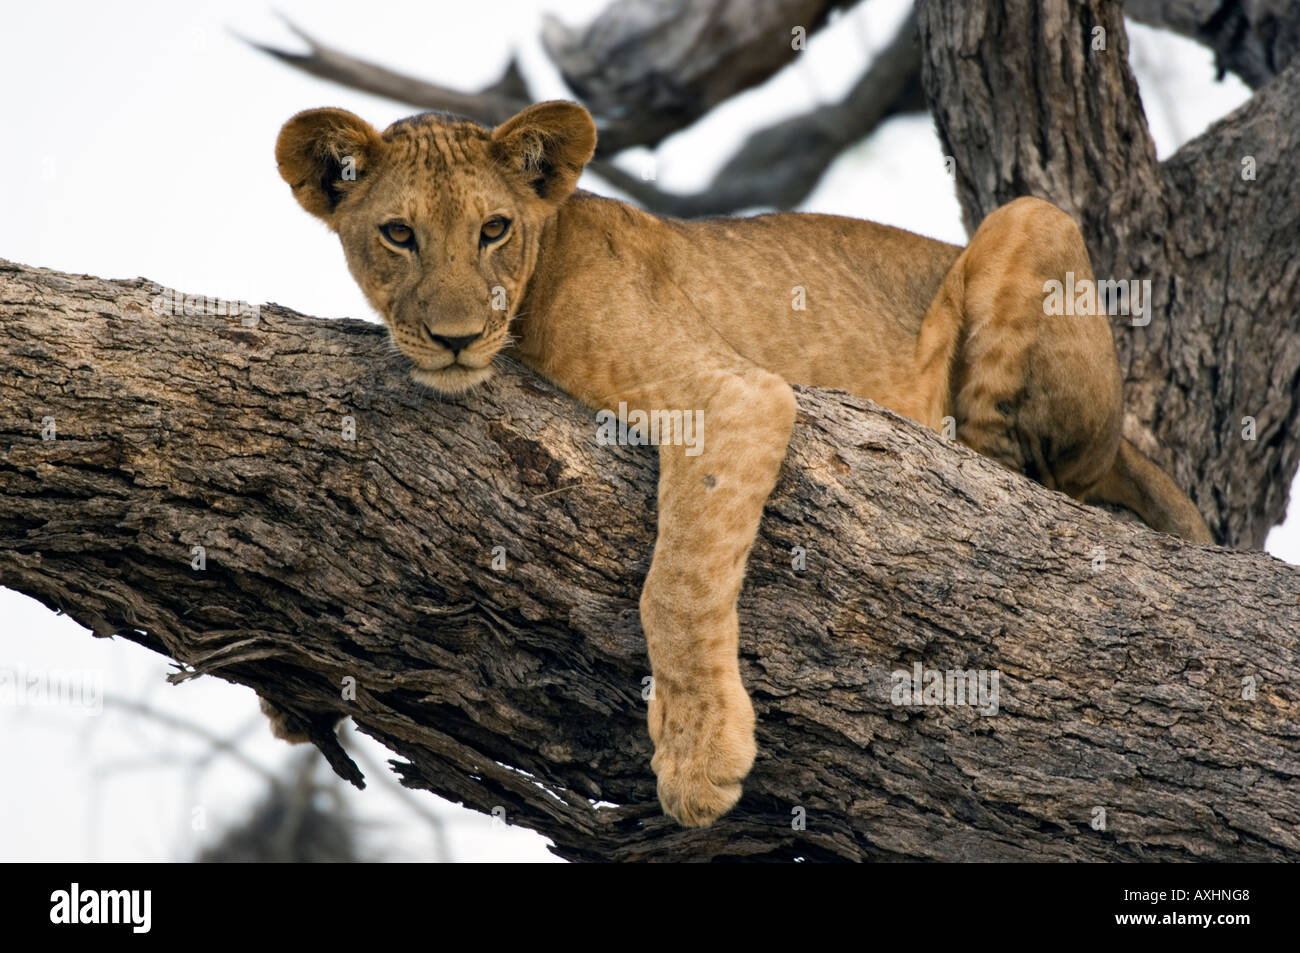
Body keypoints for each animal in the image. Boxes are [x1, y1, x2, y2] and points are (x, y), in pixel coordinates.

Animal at [275, 100, 1214, 828]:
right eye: (398, 234)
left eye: (493, 229)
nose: (456, 338)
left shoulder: (734, 395)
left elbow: (676, 585)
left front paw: (697, 759)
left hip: (1032, 221)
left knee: (1027, 472)